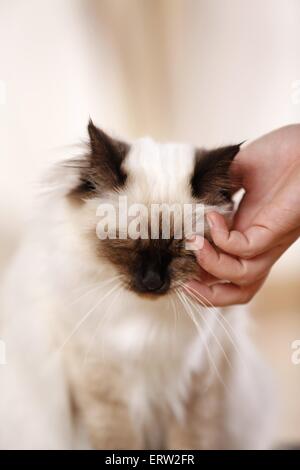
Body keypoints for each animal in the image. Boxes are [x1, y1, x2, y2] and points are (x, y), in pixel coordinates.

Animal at [0, 120, 274, 448]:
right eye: (127, 244)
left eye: (182, 250)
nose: (152, 282)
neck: (146, 327)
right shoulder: (101, 385)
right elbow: (118, 440)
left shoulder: (196, 387)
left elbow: (191, 441)